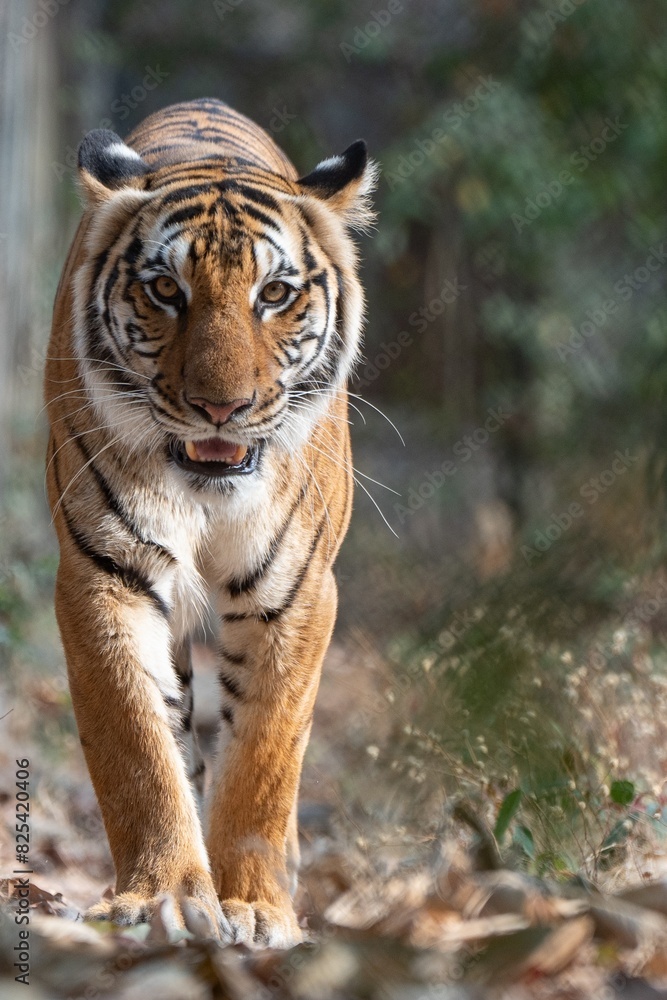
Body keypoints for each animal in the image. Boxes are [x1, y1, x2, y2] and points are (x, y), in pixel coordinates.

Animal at [44, 97, 377, 948]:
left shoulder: (294, 596)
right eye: (165, 289)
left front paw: (255, 909)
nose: (220, 408)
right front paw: (160, 897)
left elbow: (263, 757)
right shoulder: (103, 580)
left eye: (275, 294)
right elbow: (137, 748)